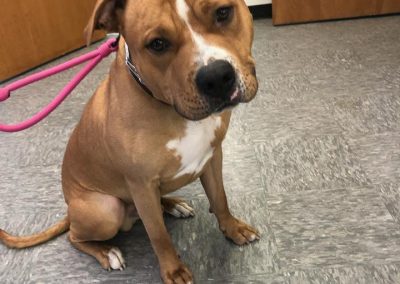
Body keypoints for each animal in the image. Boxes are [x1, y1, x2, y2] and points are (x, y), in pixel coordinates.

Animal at [0, 0, 260, 282]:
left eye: (223, 12)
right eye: (157, 44)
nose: (215, 77)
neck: (169, 107)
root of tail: (70, 212)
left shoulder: (212, 156)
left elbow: (220, 199)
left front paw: (233, 228)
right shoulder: (141, 185)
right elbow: (159, 236)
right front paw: (174, 270)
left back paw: (173, 204)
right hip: (106, 209)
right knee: (75, 237)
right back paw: (106, 252)